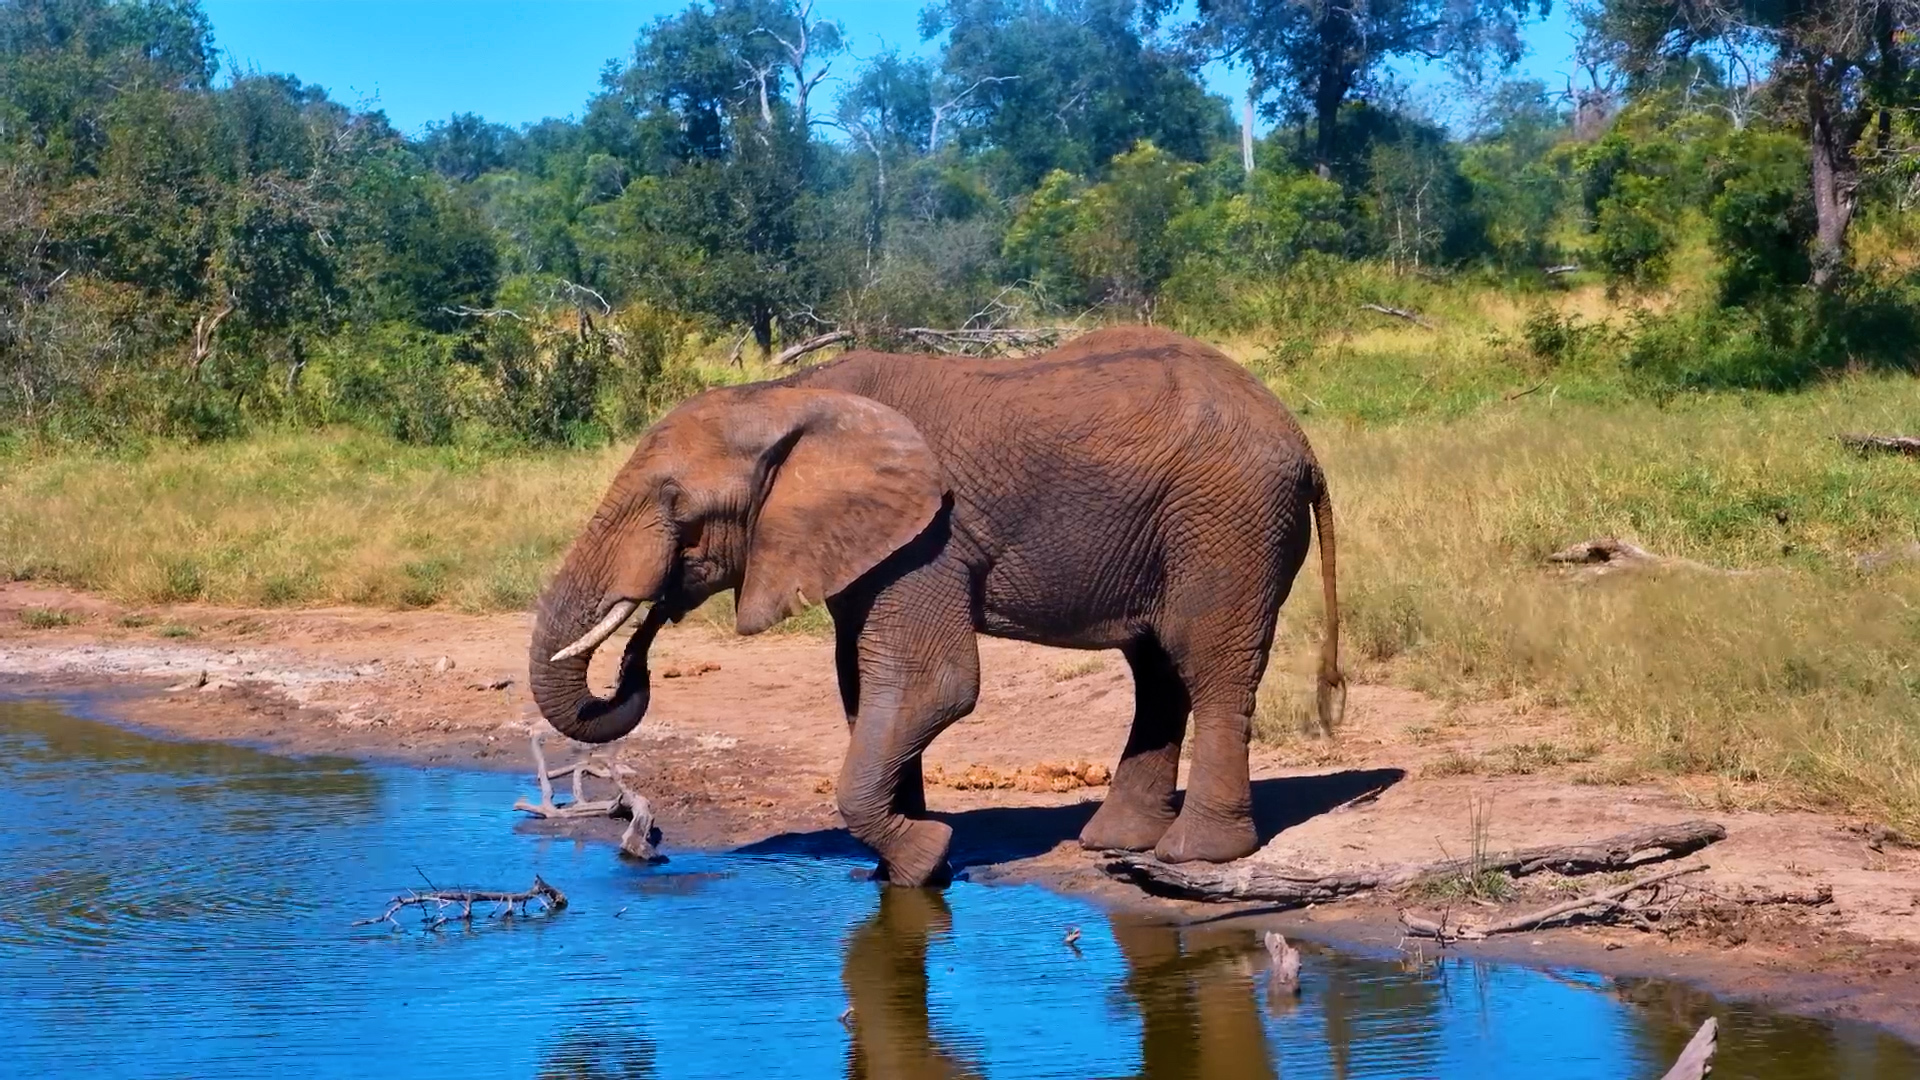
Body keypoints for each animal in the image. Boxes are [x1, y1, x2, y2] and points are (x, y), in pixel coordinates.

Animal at [528, 326, 1345, 887]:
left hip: (1228, 519)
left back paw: (1195, 855)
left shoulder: (930, 537)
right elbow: (867, 691)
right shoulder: (870, 546)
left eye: (677, 507)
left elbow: (931, 686)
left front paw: (925, 856)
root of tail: (1303, 440)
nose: (637, 650)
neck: (791, 395)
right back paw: (1115, 843)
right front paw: (907, 869)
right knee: (1156, 671)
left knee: (1208, 664)